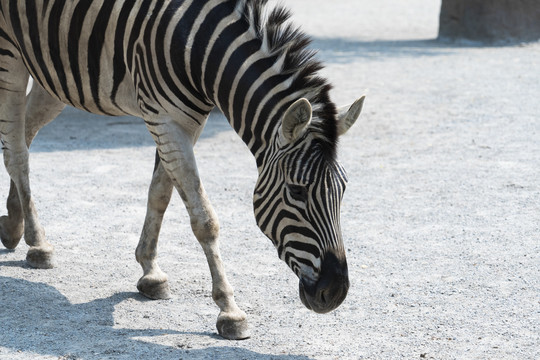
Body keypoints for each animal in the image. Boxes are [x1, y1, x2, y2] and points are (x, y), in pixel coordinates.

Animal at [0, 0, 364, 338]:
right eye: (297, 191)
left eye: (343, 190)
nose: (335, 292)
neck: (199, 47)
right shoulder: (167, 119)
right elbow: (204, 219)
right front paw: (229, 310)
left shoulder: (184, 122)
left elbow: (161, 193)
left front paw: (150, 272)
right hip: (11, 57)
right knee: (17, 152)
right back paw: (38, 244)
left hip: (53, 71)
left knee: (24, 135)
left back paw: (15, 225)